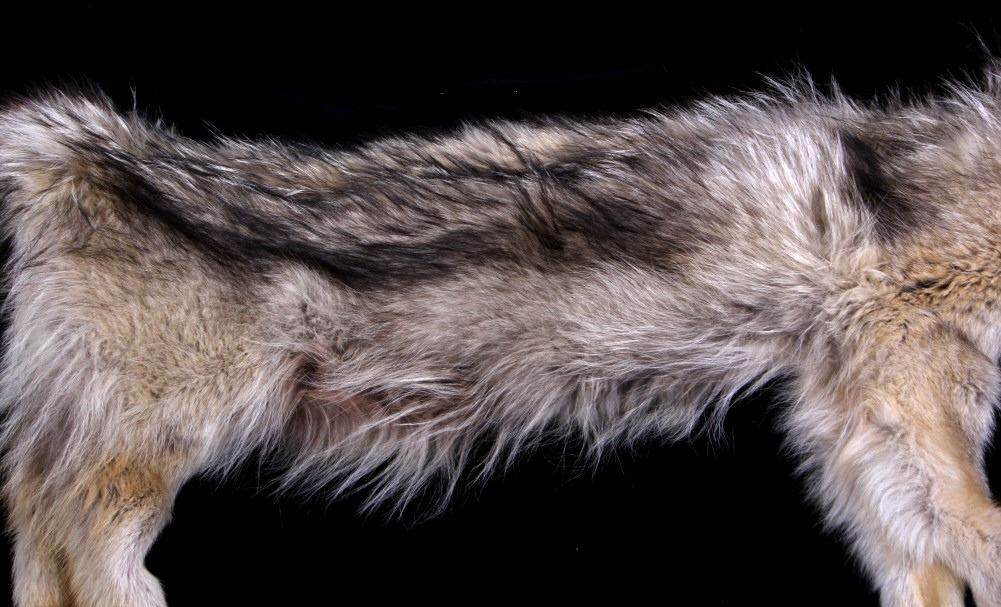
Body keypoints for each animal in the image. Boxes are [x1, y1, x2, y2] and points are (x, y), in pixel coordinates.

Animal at [4, 66, 1001, 606]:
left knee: (42, 545)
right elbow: (978, 533)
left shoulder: (855, 411)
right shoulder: (910, 385)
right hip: (150, 445)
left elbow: (917, 555)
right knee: (87, 551)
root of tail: (76, 155)